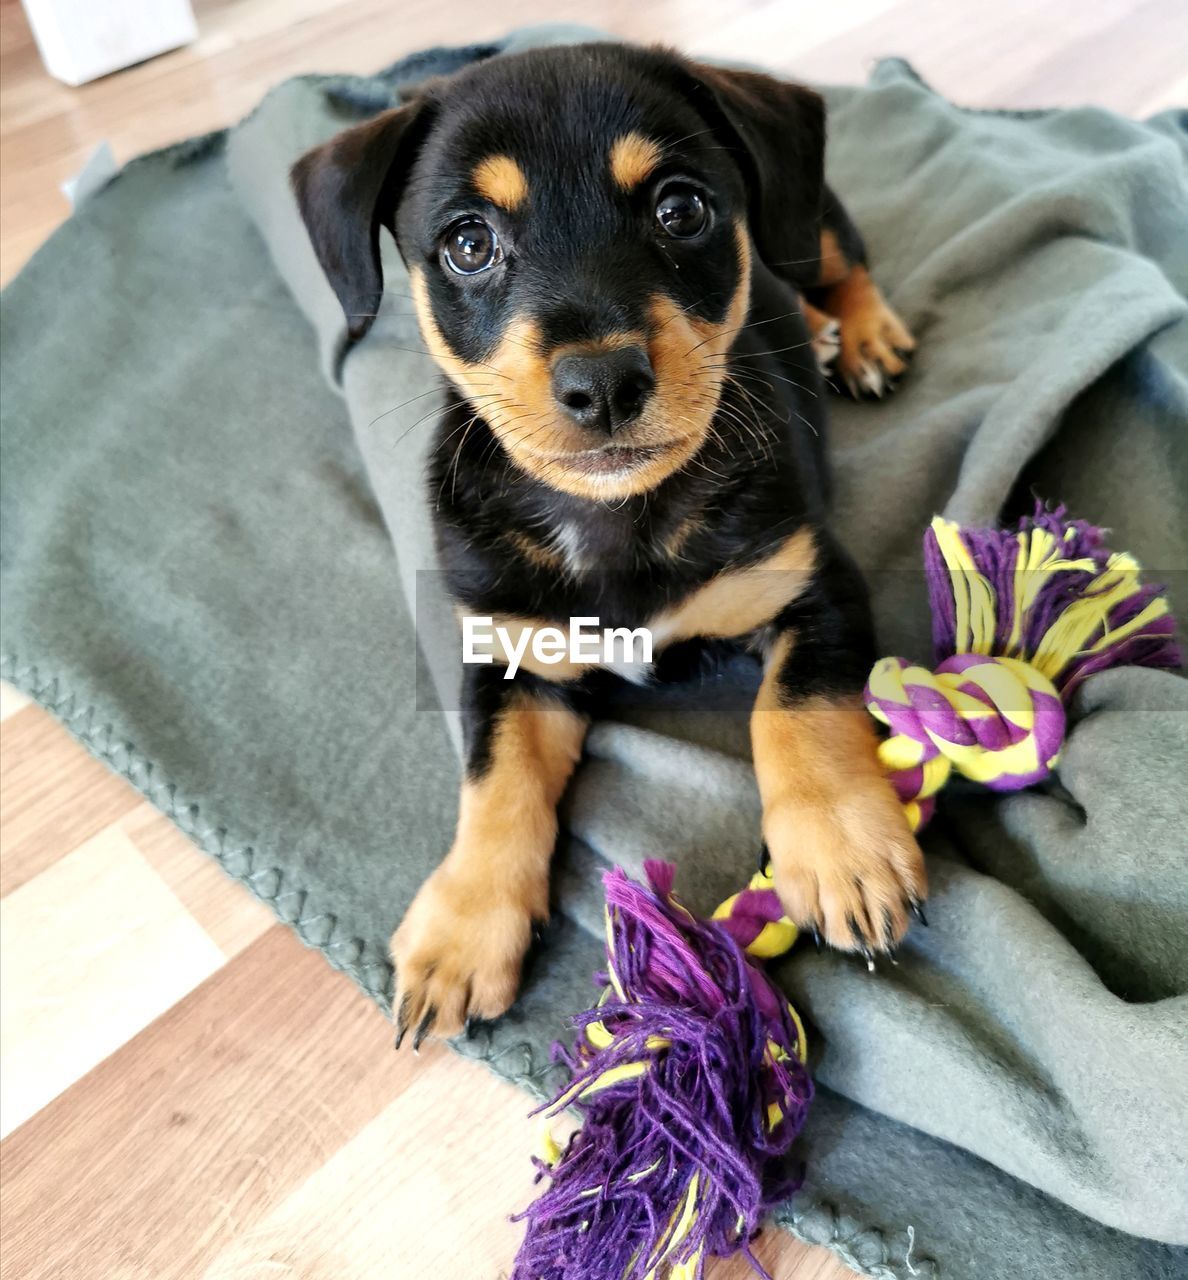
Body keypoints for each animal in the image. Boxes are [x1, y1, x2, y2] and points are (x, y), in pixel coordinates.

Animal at [291, 40, 921, 1044]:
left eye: (682, 208)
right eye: (469, 243)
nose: (604, 384)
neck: (616, 518)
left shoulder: (811, 582)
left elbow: (794, 710)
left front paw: (842, 850)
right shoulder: (506, 651)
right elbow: (496, 778)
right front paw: (464, 929)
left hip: (808, 217)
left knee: (836, 258)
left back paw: (858, 334)